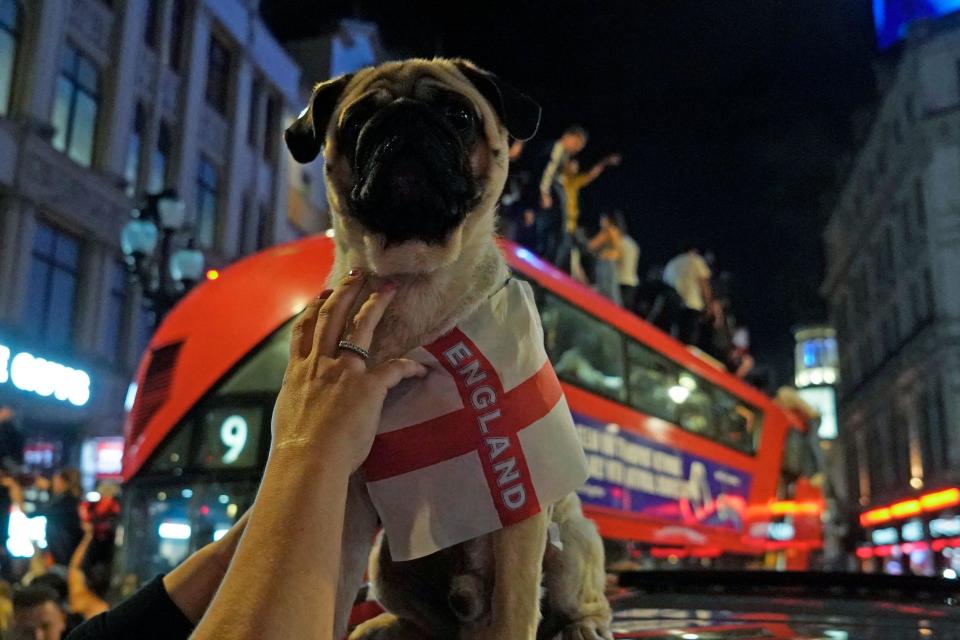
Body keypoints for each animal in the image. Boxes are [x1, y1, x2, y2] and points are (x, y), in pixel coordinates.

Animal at [284, 58, 616, 640]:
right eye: (358, 121)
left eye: (459, 115)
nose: (404, 119)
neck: (414, 283)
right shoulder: (343, 501)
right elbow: (331, 593)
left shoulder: (519, 505)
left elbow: (515, 611)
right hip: (387, 565)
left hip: (572, 541)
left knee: (578, 596)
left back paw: (583, 625)